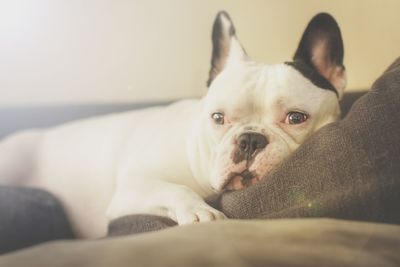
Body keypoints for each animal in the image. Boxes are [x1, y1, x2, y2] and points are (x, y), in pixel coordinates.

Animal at [0, 12, 344, 239]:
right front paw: (200, 211)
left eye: (296, 118)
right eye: (217, 118)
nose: (249, 140)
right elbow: (175, 188)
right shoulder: (133, 188)